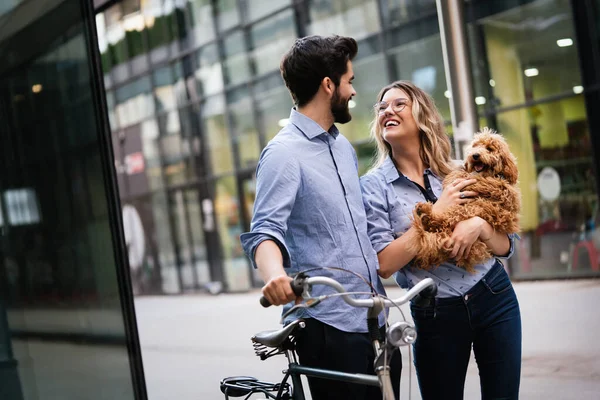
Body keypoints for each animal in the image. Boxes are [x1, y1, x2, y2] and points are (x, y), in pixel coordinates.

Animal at [408, 128, 520, 272]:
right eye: (475, 146)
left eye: (489, 149)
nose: (475, 155)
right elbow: (462, 173)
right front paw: (453, 176)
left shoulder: (500, 189)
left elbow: (476, 180)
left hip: (470, 209)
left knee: (444, 221)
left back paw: (426, 214)